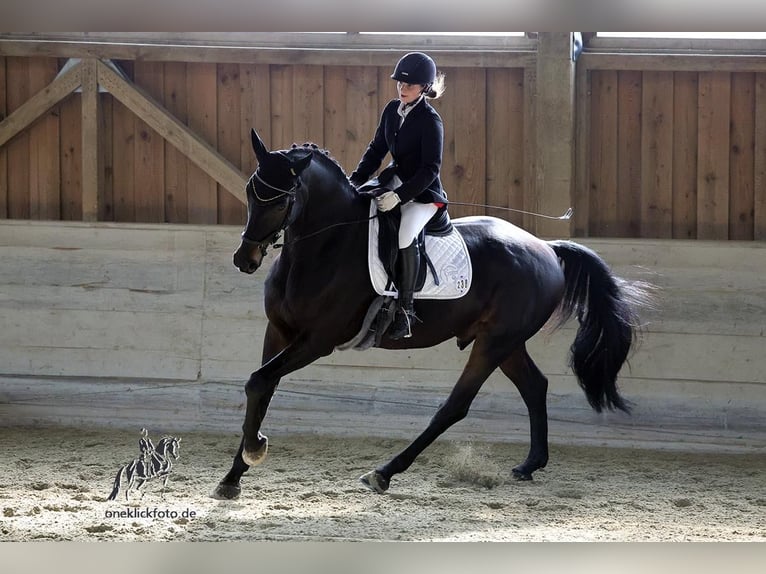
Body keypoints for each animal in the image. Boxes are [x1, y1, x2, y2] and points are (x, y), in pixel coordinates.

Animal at [212, 129, 650, 499]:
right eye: (251, 191)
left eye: (282, 200)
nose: (244, 260)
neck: (325, 247)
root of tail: (546, 247)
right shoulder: (279, 331)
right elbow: (262, 387)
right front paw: (234, 475)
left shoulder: (317, 340)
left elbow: (259, 381)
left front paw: (254, 450)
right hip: (506, 342)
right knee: (534, 386)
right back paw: (529, 465)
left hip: (495, 342)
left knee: (455, 406)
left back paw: (384, 473)